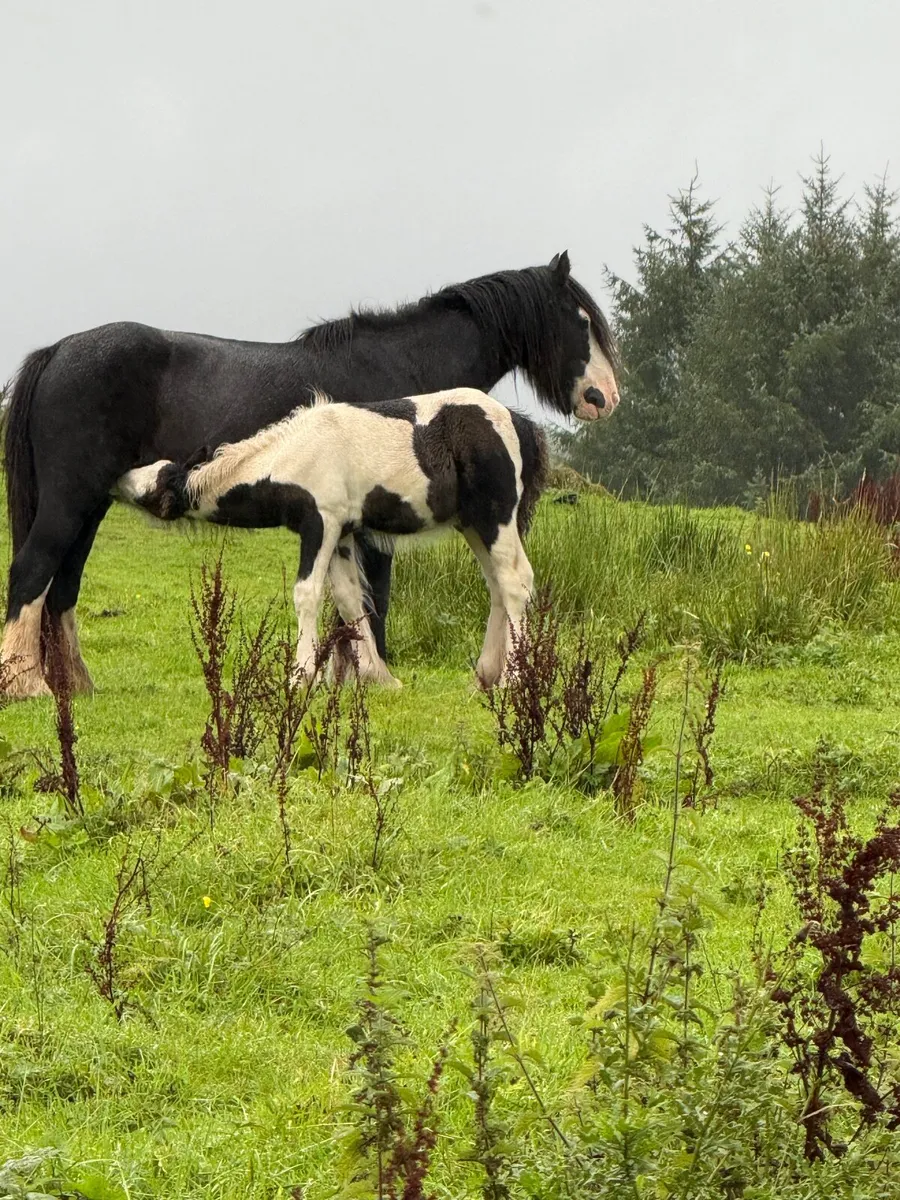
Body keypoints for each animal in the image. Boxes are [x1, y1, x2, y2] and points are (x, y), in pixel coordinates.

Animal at [115, 389, 548, 690]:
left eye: (158, 485)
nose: (118, 478)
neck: (292, 455)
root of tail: (518, 422)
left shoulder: (320, 523)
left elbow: (307, 594)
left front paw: (300, 675)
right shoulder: (342, 532)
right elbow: (349, 598)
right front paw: (379, 677)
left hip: (496, 518)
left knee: (516, 582)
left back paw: (512, 680)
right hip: (473, 525)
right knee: (498, 585)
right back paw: (487, 674)